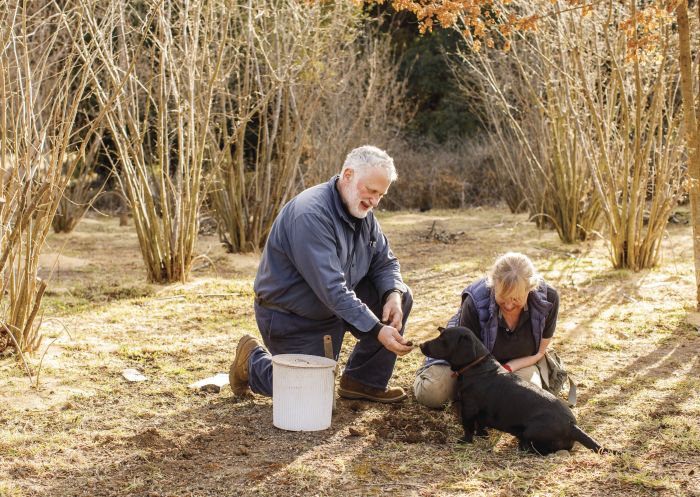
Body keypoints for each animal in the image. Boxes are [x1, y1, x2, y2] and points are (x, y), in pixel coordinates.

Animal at [422, 326, 616, 454]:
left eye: (443, 339)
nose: (421, 345)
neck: (477, 368)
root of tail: (572, 425)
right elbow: (480, 425)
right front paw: (482, 435)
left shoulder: (469, 408)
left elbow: (468, 427)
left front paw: (464, 441)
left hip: (531, 430)